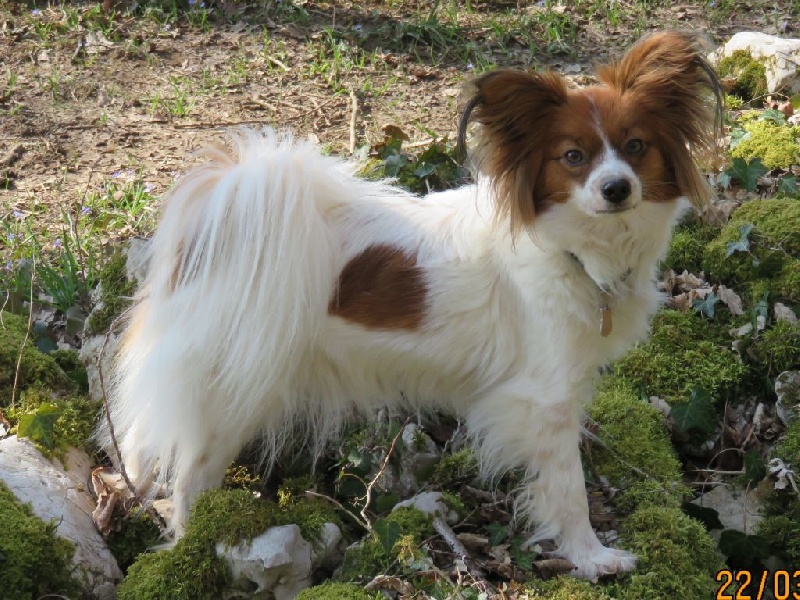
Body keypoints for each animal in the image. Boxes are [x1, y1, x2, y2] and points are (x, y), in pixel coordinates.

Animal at [97, 30, 720, 580]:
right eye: (573, 156)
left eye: (635, 148)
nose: (617, 188)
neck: (571, 249)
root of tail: (215, 220)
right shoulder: (546, 400)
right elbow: (568, 490)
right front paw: (591, 557)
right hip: (231, 391)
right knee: (188, 475)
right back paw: (190, 546)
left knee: (139, 438)